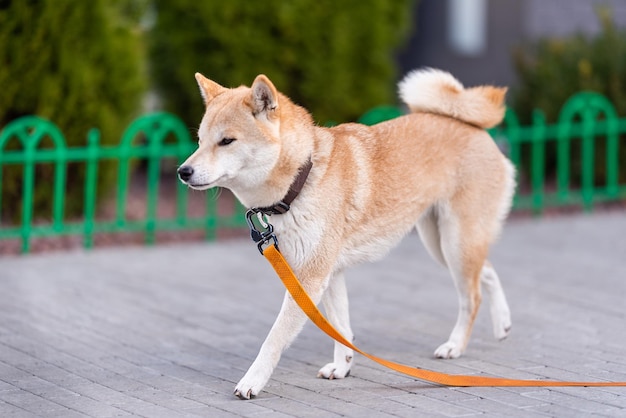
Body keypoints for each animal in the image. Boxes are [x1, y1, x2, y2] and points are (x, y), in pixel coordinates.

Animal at [178, 68, 516, 398]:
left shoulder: (310, 278)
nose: (183, 171)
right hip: (442, 245)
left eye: (226, 141)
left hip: (456, 243)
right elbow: (340, 327)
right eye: (200, 140)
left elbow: (274, 338)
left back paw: (455, 345)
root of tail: (472, 127)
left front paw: (252, 381)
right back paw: (503, 323)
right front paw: (342, 366)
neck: (302, 177)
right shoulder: (329, 272)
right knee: (486, 272)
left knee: (472, 296)